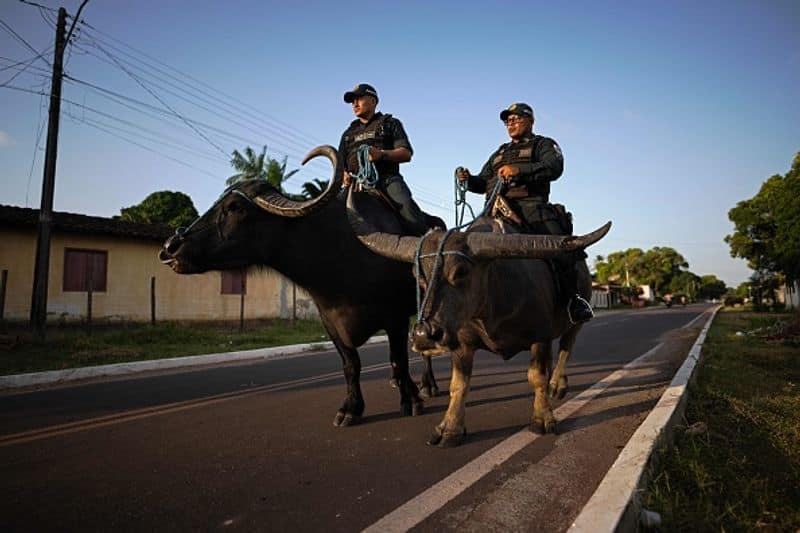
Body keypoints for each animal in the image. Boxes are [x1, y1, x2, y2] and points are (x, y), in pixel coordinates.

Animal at [456, 102, 592, 322]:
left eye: (516, 118)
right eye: (508, 120)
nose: (510, 123)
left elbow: (553, 164)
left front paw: (510, 171)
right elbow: (484, 178)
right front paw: (464, 176)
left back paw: (579, 306)